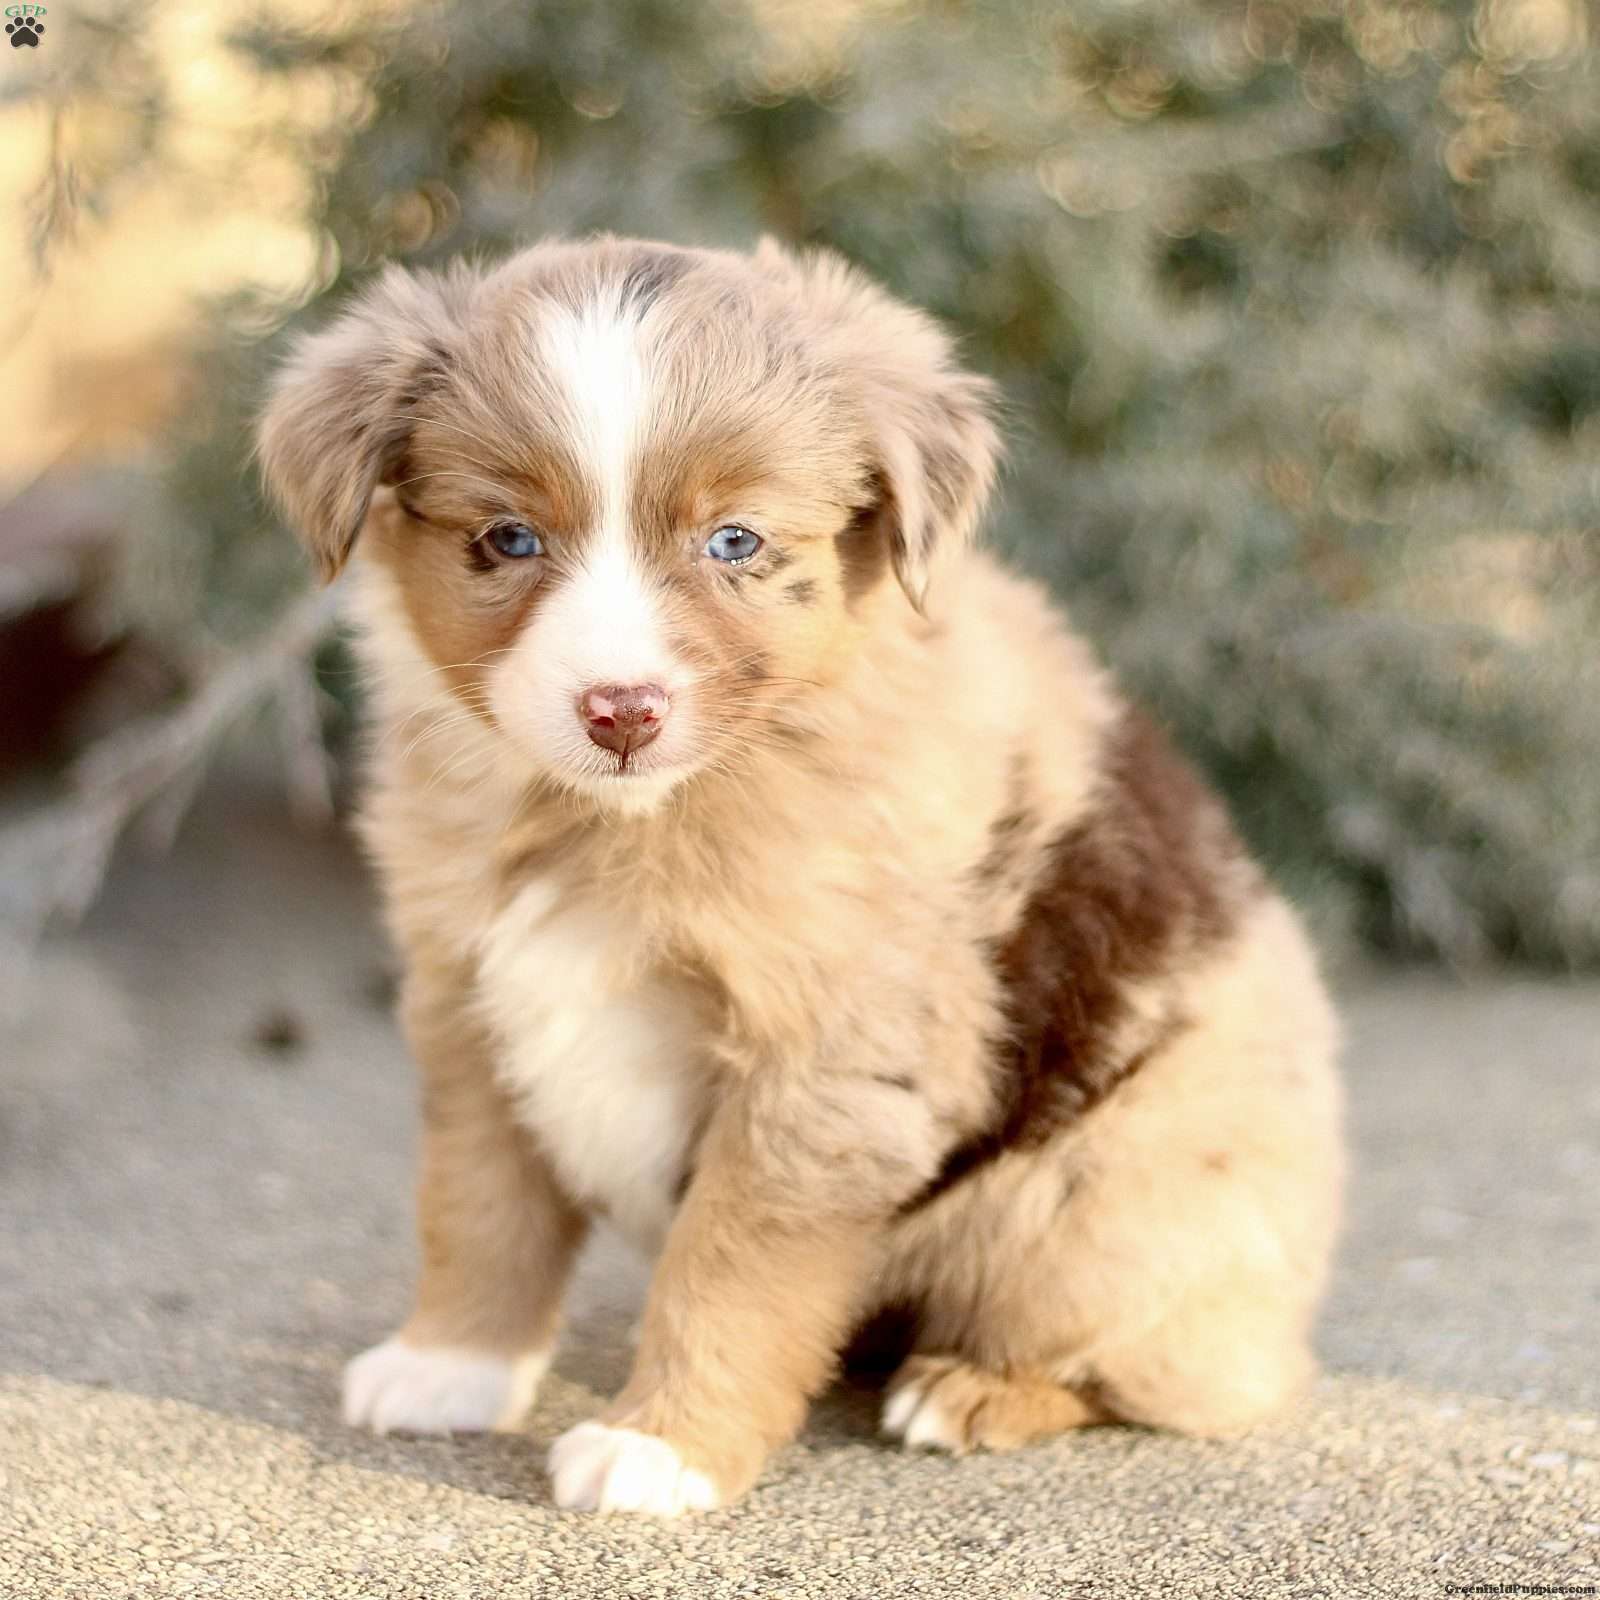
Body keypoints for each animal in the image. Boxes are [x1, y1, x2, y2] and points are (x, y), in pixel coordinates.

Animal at [256, 233, 1344, 1510]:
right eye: (507, 539)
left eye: (735, 541)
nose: (621, 709)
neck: (622, 822)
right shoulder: (469, 1001)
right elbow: (479, 1205)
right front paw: (453, 1361)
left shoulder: (822, 1062)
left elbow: (728, 1267)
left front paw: (661, 1444)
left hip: (1104, 1200)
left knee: (1174, 1374)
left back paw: (974, 1389)